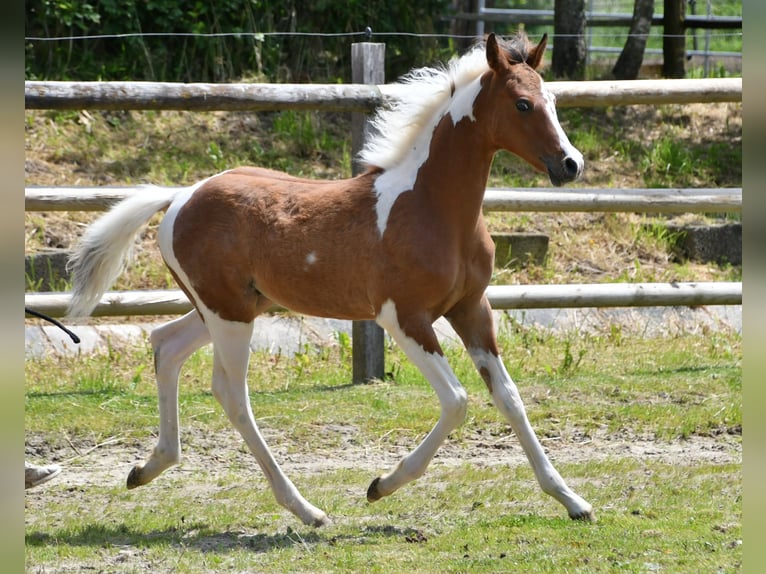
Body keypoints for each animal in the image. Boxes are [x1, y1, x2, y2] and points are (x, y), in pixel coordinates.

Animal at [69, 31, 592, 528]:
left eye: (553, 100)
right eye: (522, 104)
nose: (571, 164)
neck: (431, 207)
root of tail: (180, 195)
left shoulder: (472, 309)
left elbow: (510, 398)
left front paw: (572, 500)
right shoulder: (403, 318)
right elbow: (458, 401)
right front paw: (383, 484)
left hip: (231, 307)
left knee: (165, 344)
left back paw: (149, 467)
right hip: (230, 315)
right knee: (231, 393)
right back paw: (306, 509)